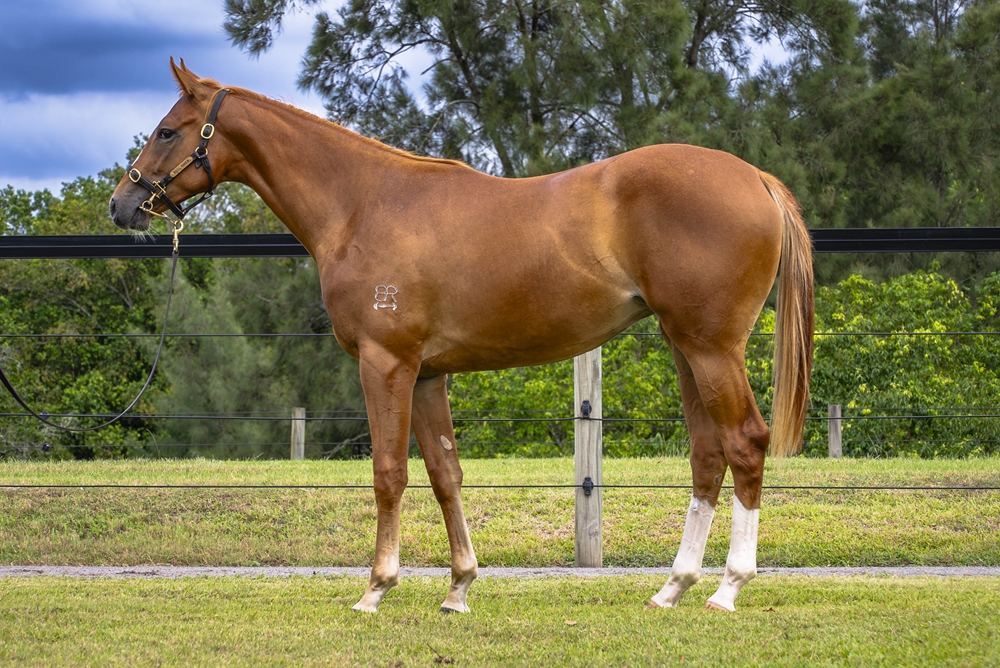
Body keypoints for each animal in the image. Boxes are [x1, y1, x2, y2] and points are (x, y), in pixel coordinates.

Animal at [110, 59, 814, 614]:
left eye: (167, 131)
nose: (122, 205)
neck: (363, 204)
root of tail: (755, 178)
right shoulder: (426, 373)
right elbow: (445, 473)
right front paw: (459, 588)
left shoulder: (385, 364)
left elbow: (389, 472)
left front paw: (376, 587)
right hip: (683, 348)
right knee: (708, 456)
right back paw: (673, 587)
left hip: (710, 349)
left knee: (745, 443)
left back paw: (728, 588)